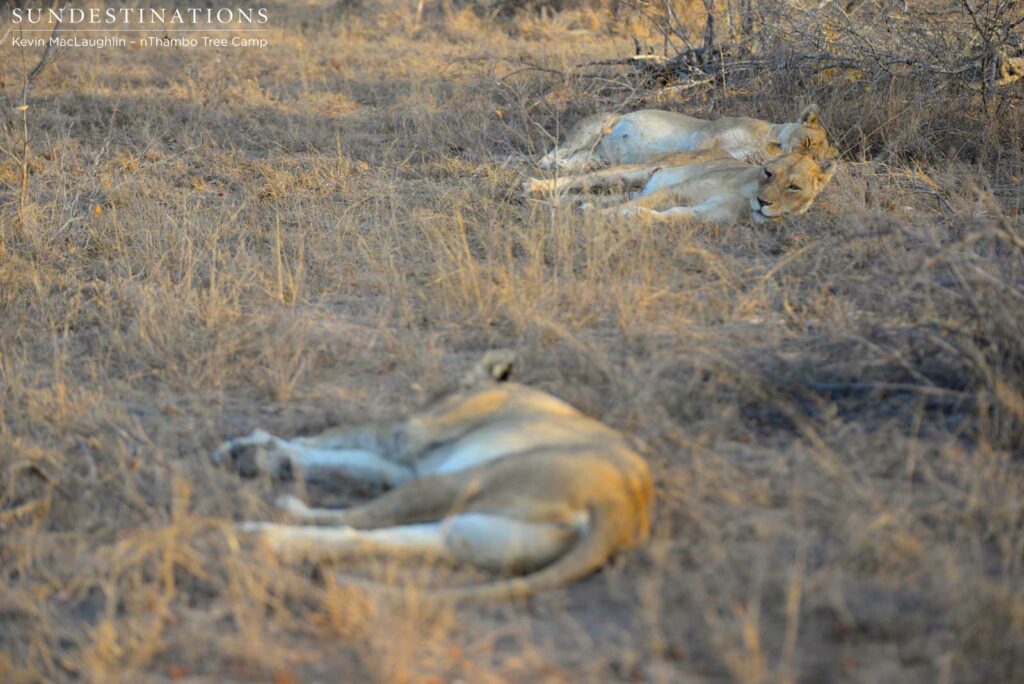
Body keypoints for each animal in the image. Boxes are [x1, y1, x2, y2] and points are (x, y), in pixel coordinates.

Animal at [212, 351, 654, 603]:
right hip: (473, 534)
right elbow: (340, 456)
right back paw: (264, 539)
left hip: (467, 480)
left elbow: (337, 437)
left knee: (358, 518)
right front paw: (259, 455)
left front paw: (250, 449)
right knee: (367, 537)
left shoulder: (409, 433)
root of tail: (623, 508)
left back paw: (265, 519)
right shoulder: (406, 462)